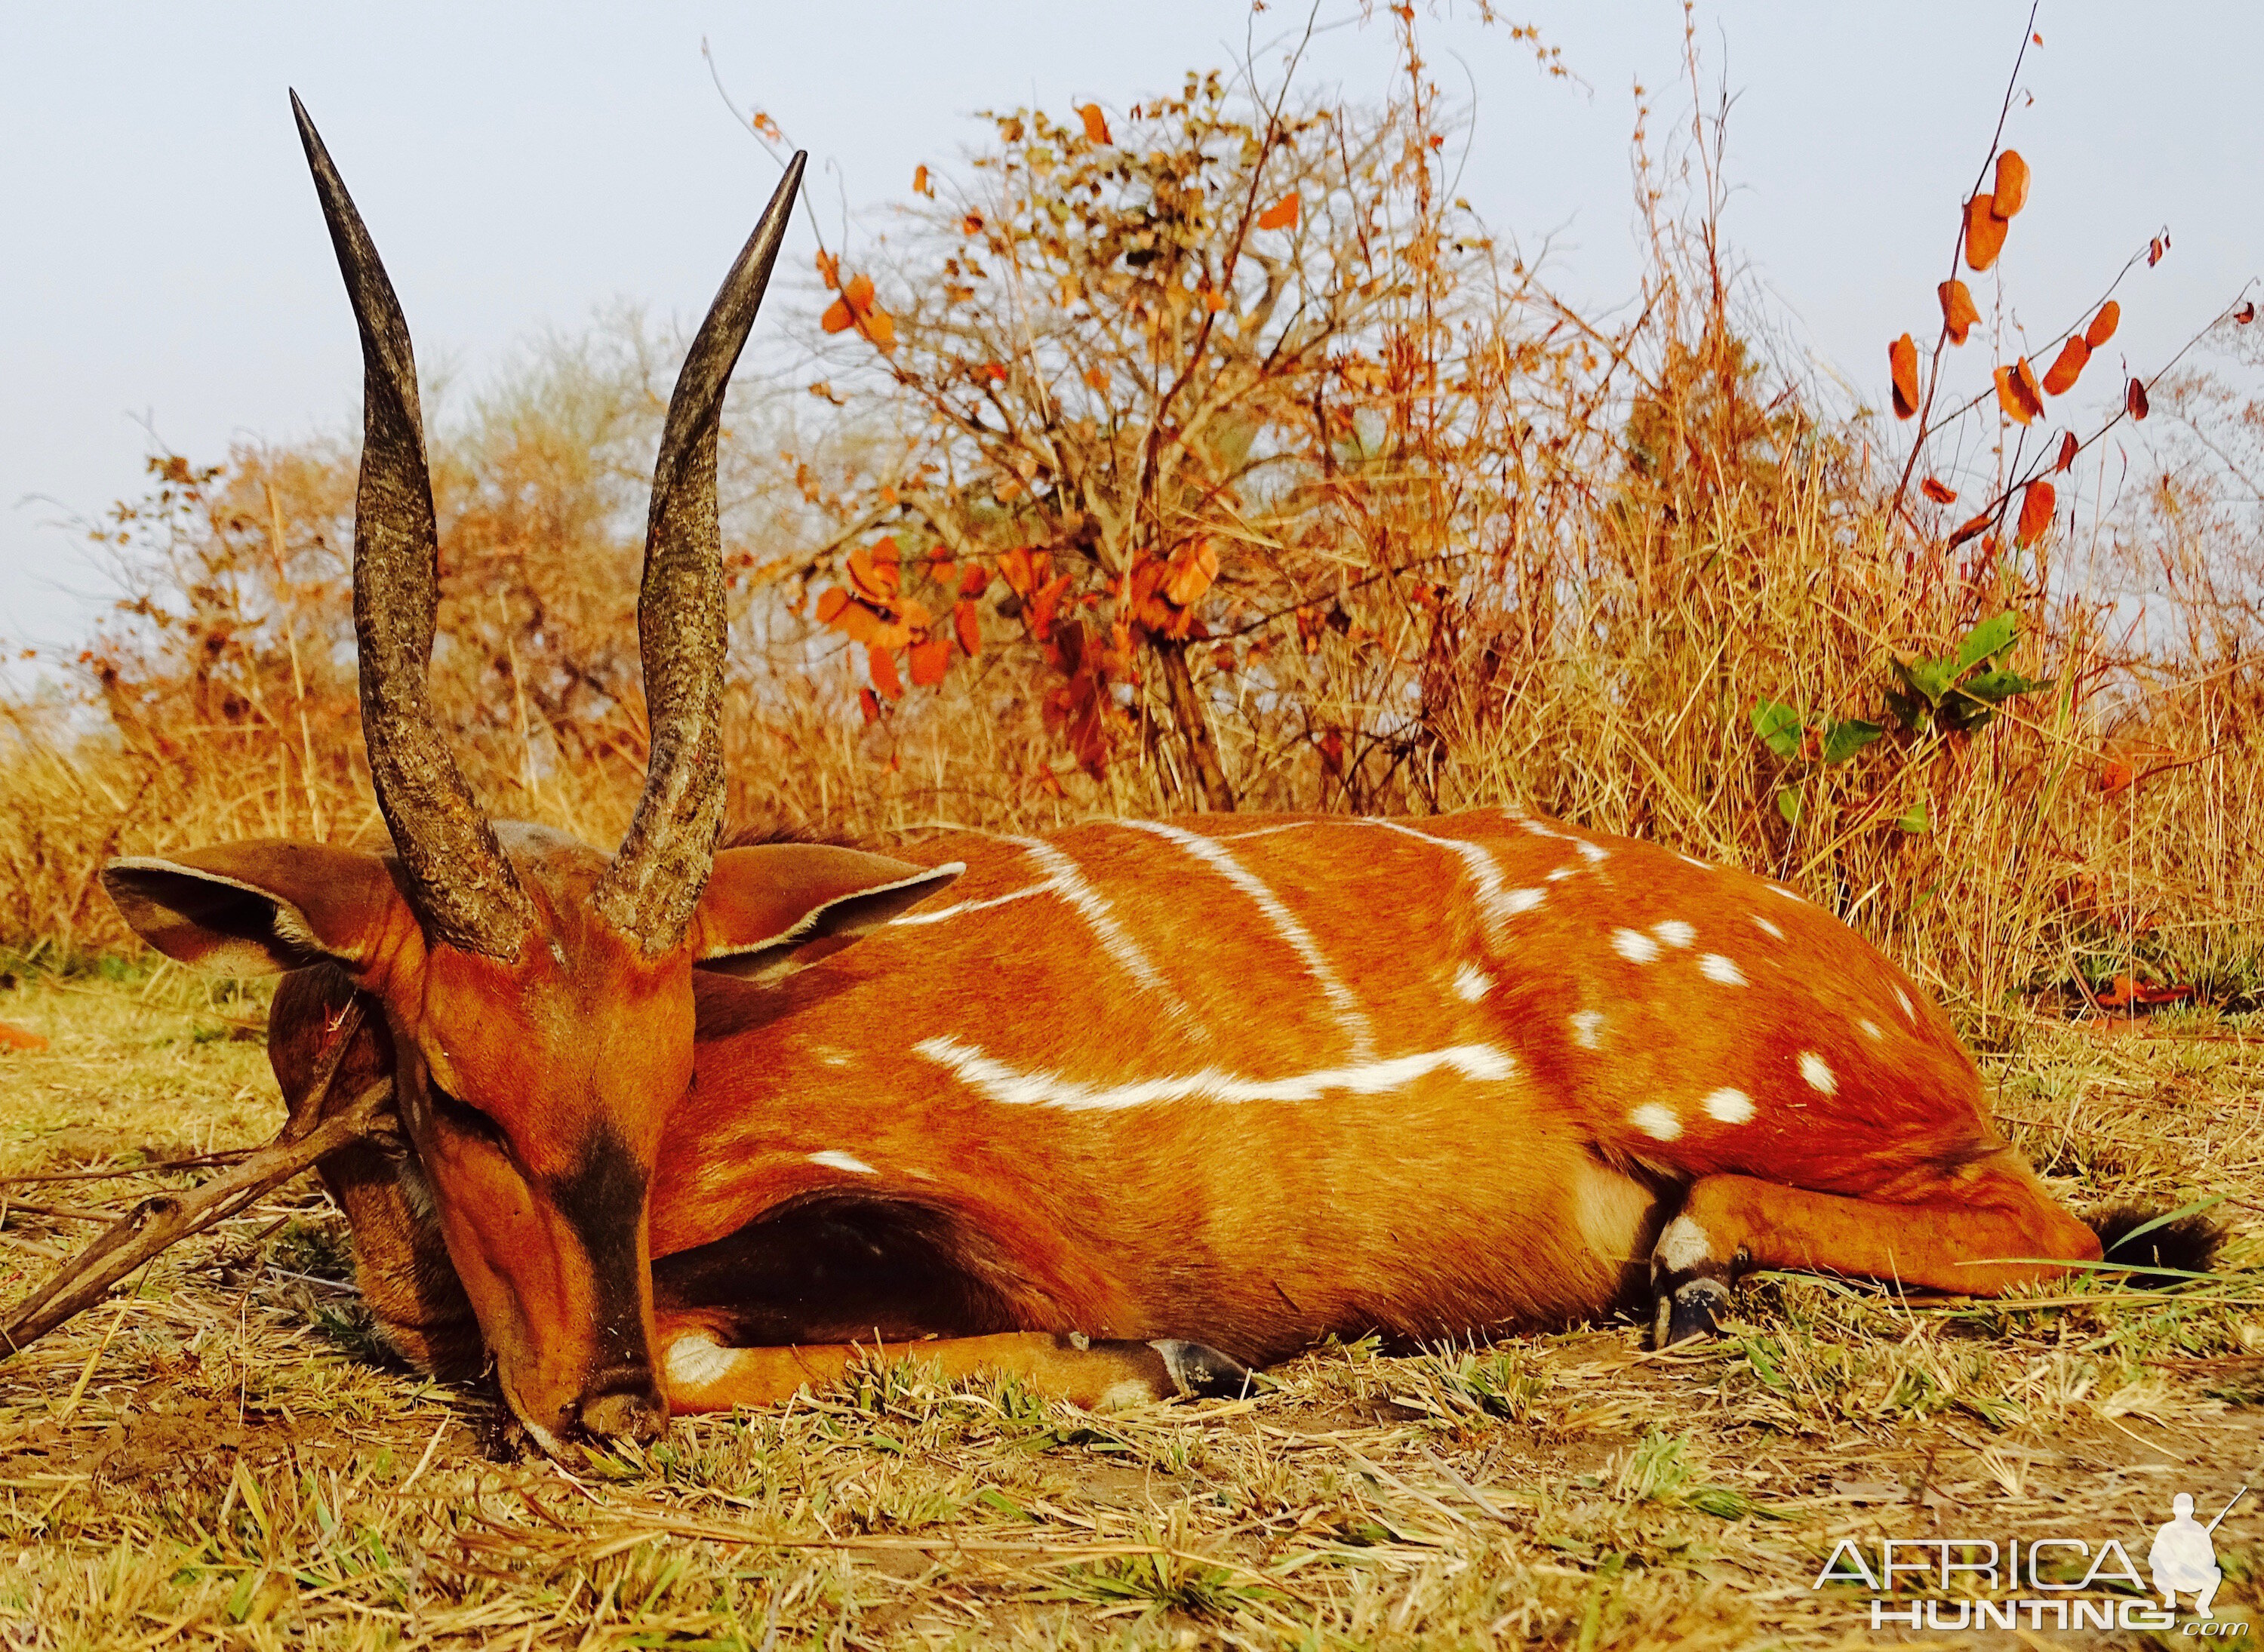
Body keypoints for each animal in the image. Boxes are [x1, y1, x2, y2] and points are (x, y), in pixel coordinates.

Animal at [106, 99, 2155, 1457]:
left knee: (2053, 1222)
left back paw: (1702, 1259)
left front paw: (1174, 1361)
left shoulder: (940, 1218)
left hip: (1753, 1103)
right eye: (453, 1087)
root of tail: (1889, 986)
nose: (587, 1402)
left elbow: (768, 1333)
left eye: (674, 1055)